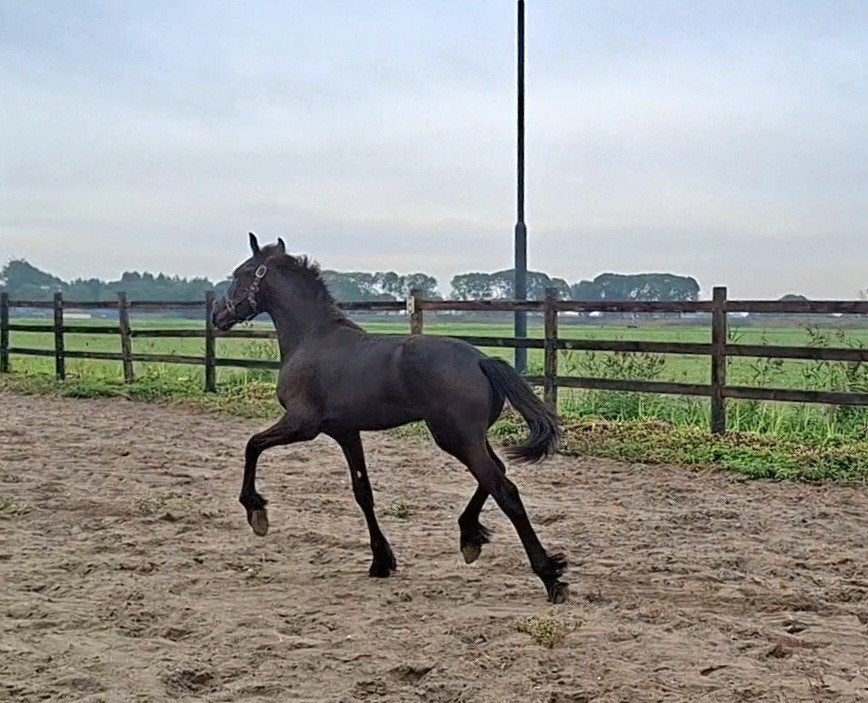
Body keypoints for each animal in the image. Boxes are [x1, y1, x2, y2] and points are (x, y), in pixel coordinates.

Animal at [212, 233, 568, 603]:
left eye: (239, 274)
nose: (216, 315)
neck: (312, 339)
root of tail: (482, 360)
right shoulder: (345, 432)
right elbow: (363, 493)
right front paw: (381, 561)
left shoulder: (302, 424)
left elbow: (252, 445)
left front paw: (256, 511)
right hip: (470, 438)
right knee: (496, 472)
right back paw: (469, 537)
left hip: (456, 438)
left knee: (504, 489)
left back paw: (549, 576)